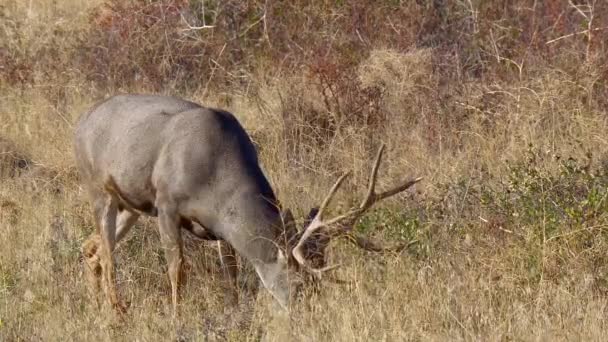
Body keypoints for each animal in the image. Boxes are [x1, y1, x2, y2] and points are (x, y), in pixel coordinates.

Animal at [73, 94, 420, 316]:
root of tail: (83, 121)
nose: (312, 315)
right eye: (299, 284)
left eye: (318, 286)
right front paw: (177, 317)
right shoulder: (166, 203)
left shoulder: (219, 228)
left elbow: (231, 274)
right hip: (97, 188)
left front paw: (235, 312)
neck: (215, 172)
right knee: (109, 254)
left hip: (129, 206)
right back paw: (118, 311)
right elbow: (177, 269)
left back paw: (98, 307)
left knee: (91, 248)